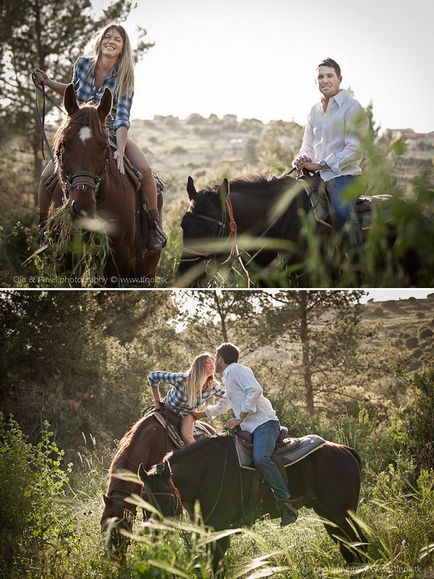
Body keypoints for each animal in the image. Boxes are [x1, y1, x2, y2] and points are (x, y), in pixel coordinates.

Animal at [142, 436, 366, 572]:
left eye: (165, 499)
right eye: (143, 498)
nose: (151, 534)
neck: (205, 472)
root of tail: (346, 451)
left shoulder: (219, 528)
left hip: (342, 514)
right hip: (328, 515)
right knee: (348, 546)